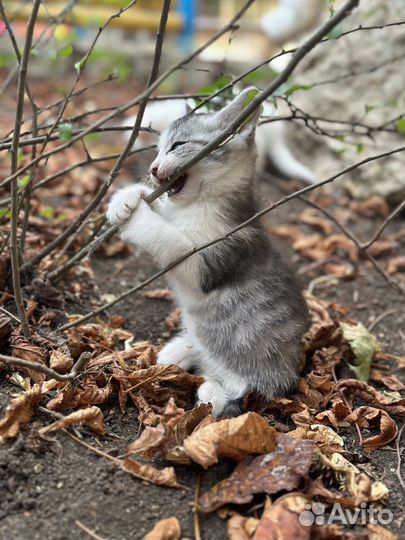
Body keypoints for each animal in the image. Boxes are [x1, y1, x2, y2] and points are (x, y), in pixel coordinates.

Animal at [105, 88, 308, 418]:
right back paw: (181, 350)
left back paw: (214, 391)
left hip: (254, 359)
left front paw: (136, 217)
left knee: (243, 385)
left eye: (177, 146)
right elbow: (160, 208)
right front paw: (126, 198)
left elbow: (168, 238)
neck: (198, 203)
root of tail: (291, 370)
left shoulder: (209, 259)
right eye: (157, 151)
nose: (152, 169)